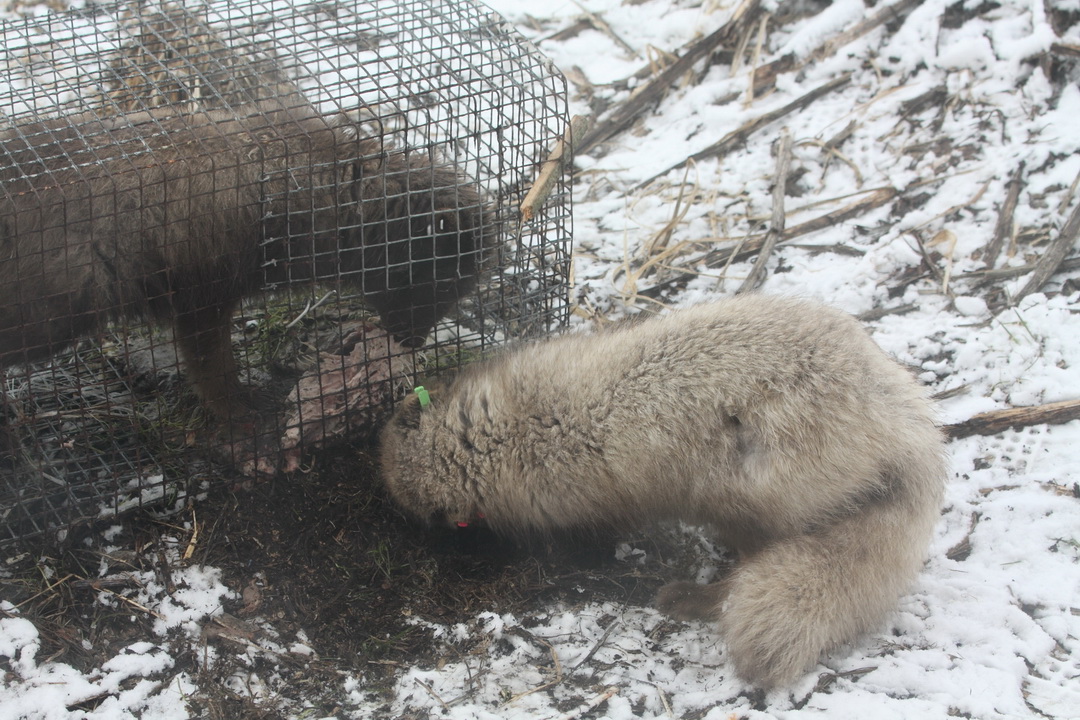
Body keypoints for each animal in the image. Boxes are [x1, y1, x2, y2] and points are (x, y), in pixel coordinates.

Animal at [0, 0, 574, 546]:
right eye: (443, 278)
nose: (408, 343)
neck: (291, 189)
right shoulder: (202, 298)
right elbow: (214, 375)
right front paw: (246, 420)